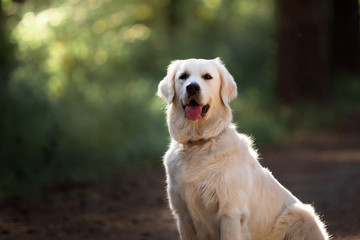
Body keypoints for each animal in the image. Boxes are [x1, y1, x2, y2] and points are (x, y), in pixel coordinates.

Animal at [158, 58, 330, 240]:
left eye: (207, 77)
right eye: (183, 76)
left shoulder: (230, 213)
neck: (198, 144)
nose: (192, 87)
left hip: (300, 213)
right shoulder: (183, 216)